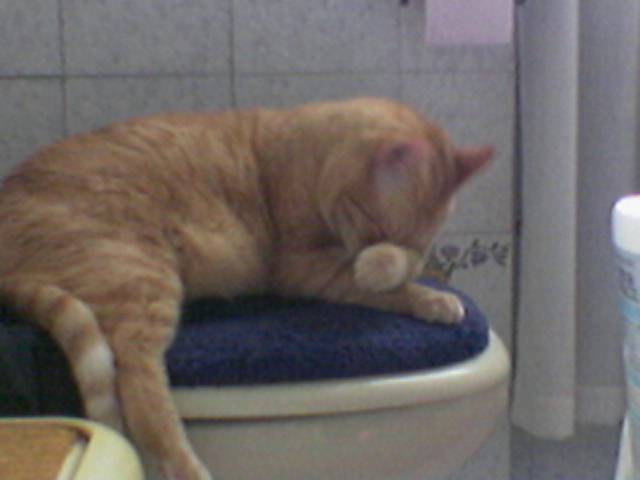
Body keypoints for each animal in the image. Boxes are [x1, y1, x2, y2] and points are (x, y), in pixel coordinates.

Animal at [0, 97, 492, 480]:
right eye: (376, 228)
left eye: (416, 239)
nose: (368, 251)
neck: (303, 150)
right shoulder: (302, 268)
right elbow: (385, 281)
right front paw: (422, 289)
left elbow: (409, 268)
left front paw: (420, 275)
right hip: (141, 278)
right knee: (139, 384)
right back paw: (185, 466)